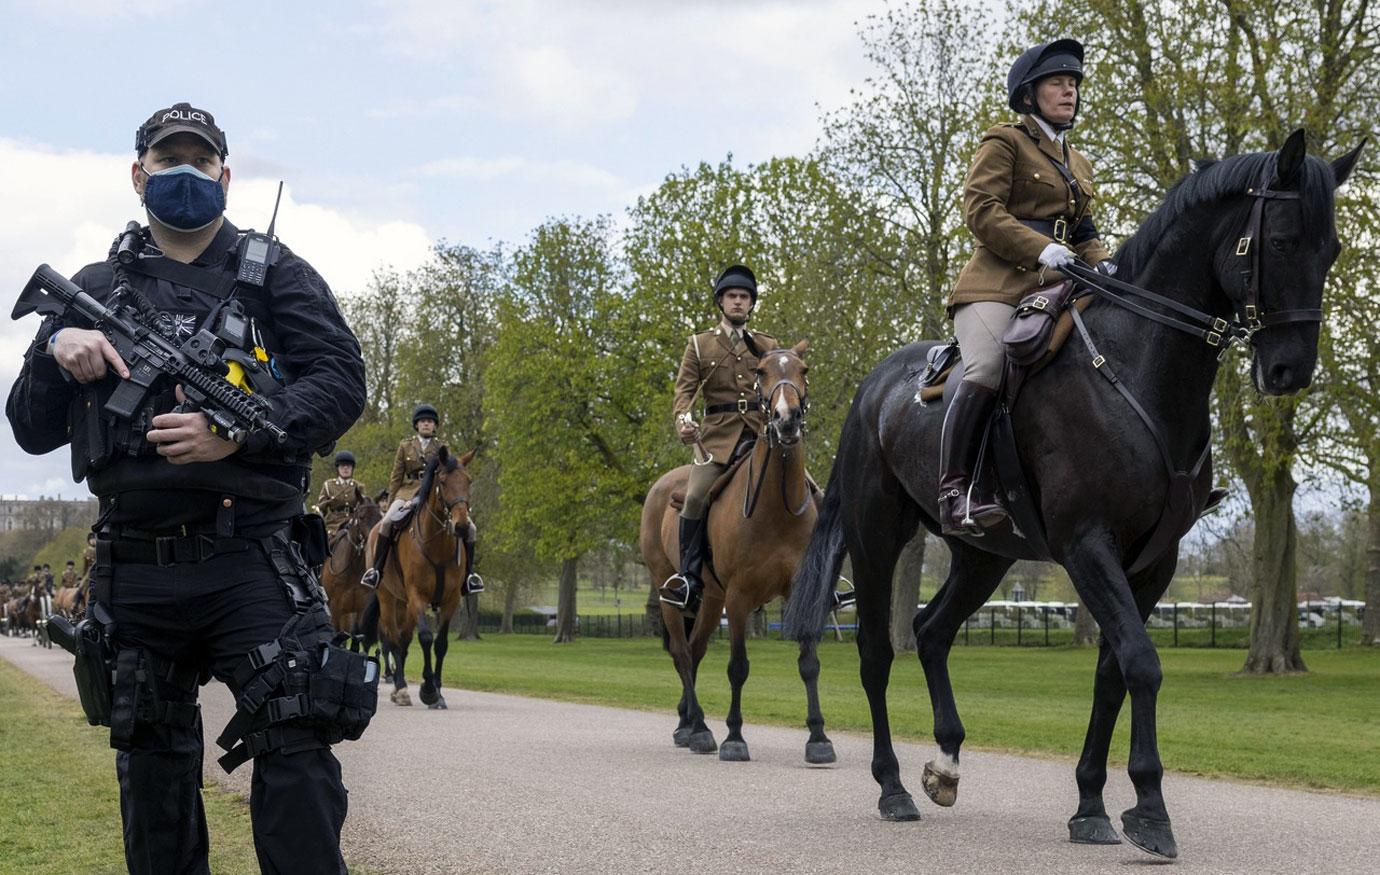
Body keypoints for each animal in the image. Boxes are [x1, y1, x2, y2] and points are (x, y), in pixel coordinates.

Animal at [321, 491, 386, 648]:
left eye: (380, 517)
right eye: (361, 517)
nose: (374, 542)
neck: (353, 569)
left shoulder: (361, 609)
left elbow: (358, 639)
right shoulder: (335, 608)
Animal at [367, 447, 474, 706]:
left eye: (468, 481)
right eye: (443, 481)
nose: (462, 526)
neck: (437, 545)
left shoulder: (450, 599)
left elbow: (441, 644)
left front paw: (438, 691)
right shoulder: (417, 596)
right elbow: (425, 638)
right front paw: (428, 690)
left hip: (404, 604)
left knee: (403, 640)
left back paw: (399, 687)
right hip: (388, 598)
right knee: (393, 639)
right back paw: (401, 688)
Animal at [640, 340, 833, 761]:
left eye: (804, 370)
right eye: (761, 371)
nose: (786, 419)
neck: (776, 509)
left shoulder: (799, 591)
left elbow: (809, 663)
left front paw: (818, 738)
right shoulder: (739, 597)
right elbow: (738, 667)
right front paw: (734, 737)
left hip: (711, 599)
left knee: (695, 651)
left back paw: (688, 726)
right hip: (670, 593)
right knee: (682, 653)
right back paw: (700, 728)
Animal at [783, 131, 1363, 861]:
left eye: (1333, 248)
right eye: (1283, 240)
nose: (1290, 370)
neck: (1135, 367)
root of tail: (873, 386)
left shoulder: (1153, 561)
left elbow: (1113, 672)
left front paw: (1091, 804)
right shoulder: (1088, 544)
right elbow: (1142, 662)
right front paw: (1150, 809)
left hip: (985, 554)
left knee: (932, 630)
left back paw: (945, 764)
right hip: (876, 538)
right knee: (877, 651)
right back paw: (892, 787)